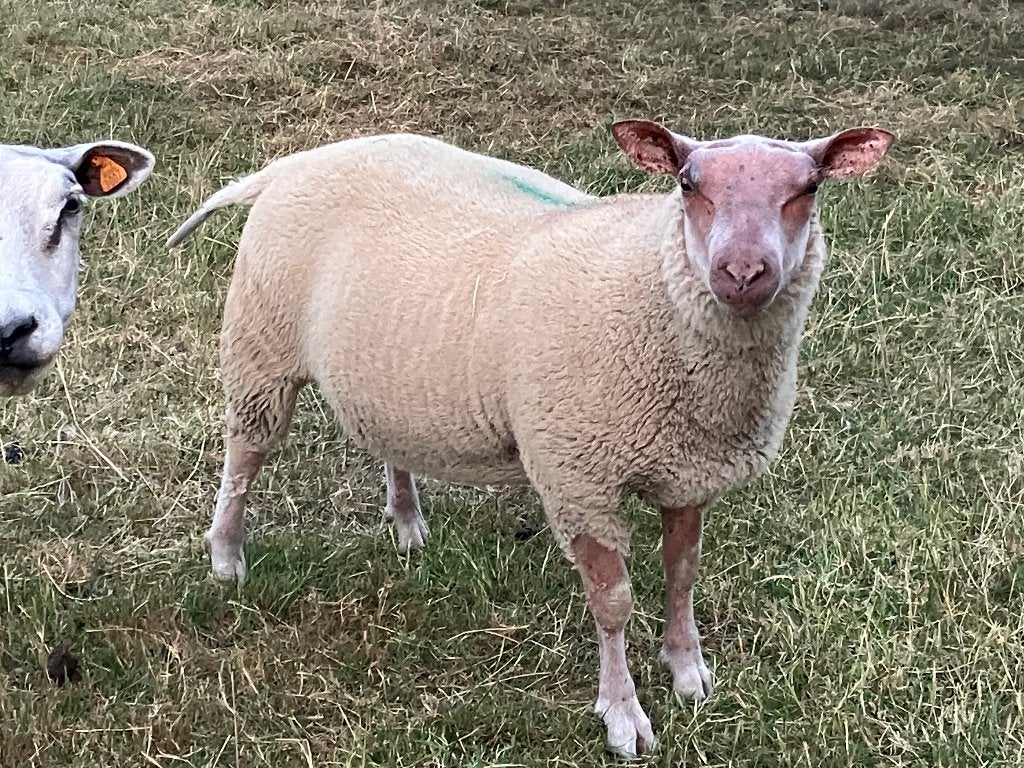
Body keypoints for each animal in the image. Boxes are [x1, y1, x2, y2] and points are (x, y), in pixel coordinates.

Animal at [167, 120, 893, 756]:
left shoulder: (687, 471)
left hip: (385, 371)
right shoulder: (578, 477)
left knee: (387, 441)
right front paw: (623, 714)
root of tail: (295, 163)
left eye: (810, 187)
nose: (743, 273)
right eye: (688, 183)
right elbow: (613, 604)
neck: (650, 287)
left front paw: (688, 670)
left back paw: (406, 522)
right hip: (261, 346)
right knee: (245, 455)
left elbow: (682, 573)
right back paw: (226, 556)